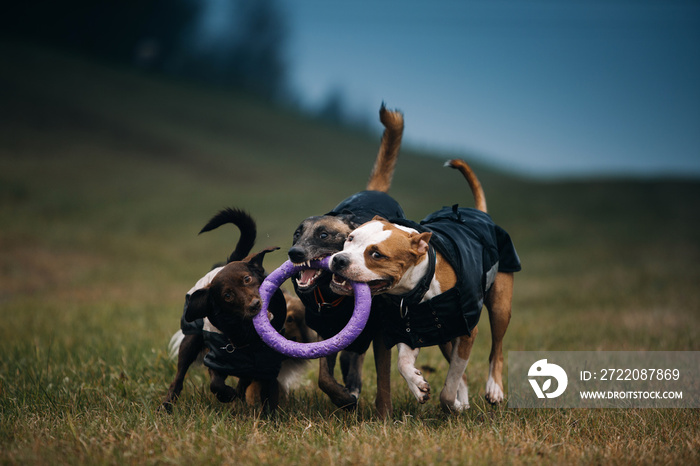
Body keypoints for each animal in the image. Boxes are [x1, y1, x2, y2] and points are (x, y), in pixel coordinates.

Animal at [328, 159, 520, 412]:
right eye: (350, 238)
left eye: (377, 254)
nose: (339, 260)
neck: (418, 291)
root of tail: (479, 213)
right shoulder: (408, 329)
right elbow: (403, 363)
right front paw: (418, 385)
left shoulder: (467, 332)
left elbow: (449, 385)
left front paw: (451, 404)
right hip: (446, 336)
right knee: (464, 374)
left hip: (500, 308)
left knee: (496, 350)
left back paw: (494, 390)